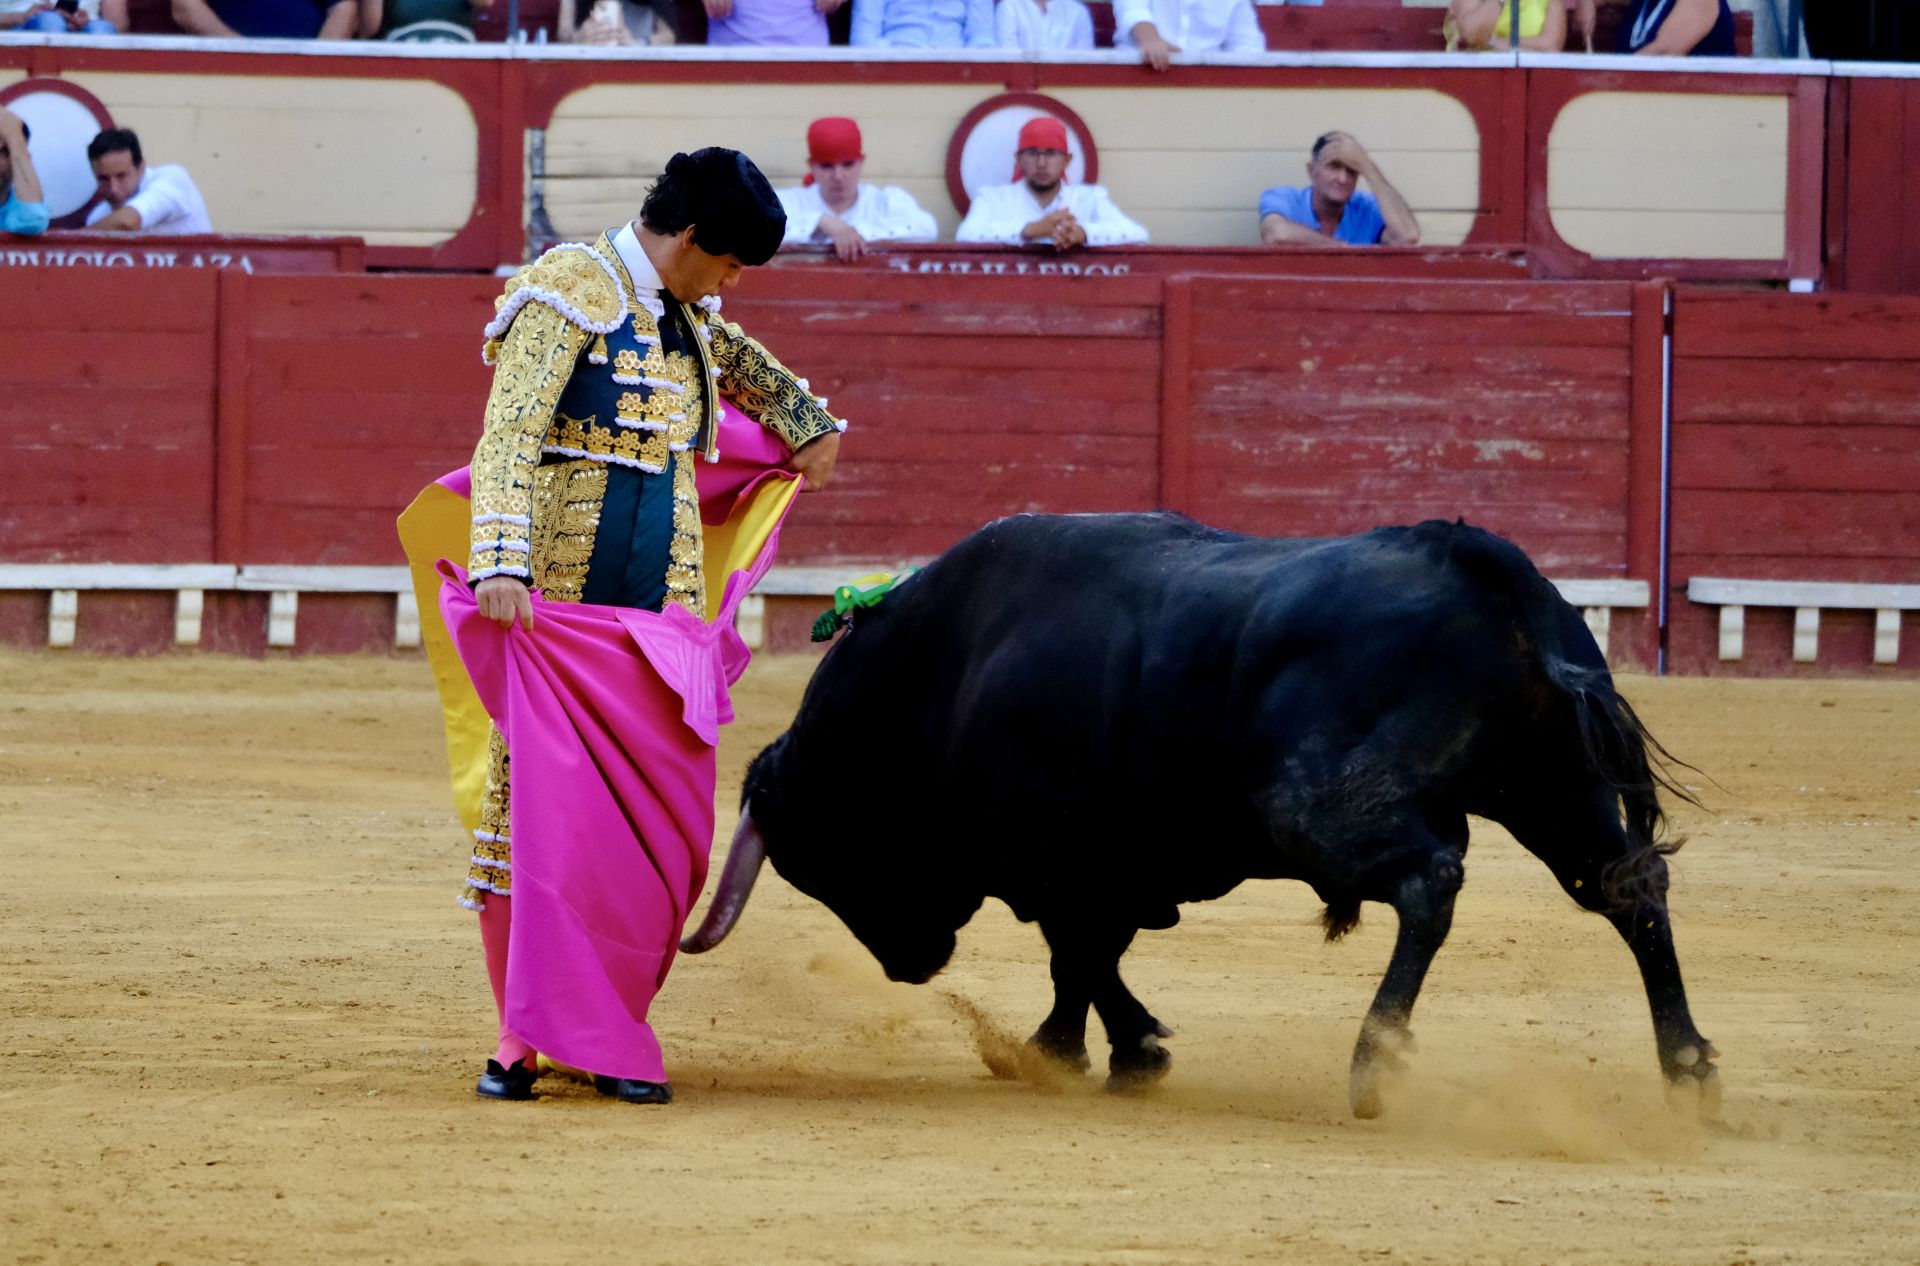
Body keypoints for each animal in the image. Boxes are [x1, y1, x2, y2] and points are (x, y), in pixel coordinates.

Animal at [683, 514, 1720, 1121]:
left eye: (827, 861)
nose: (913, 963)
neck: (949, 667)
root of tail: (1482, 564)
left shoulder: (1066, 863)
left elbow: (1082, 955)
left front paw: (1098, 1052)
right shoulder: (1098, 870)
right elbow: (1086, 958)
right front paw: (1087, 1049)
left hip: (1319, 804)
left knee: (1431, 880)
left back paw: (1375, 1063)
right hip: (1556, 790)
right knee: (1630, 886)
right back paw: (1689, 1070)